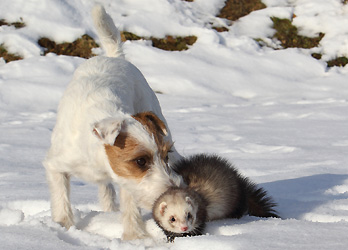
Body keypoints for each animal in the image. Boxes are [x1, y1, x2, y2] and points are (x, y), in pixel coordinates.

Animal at [43, 5, 182, 240]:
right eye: (141, 161)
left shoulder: (126, 179)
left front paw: (135, 237)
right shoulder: (56, 166)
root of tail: (113, 56)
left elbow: (130, 207)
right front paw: (63, 227)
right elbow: (61, 200)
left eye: (165, 156)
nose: (174, 190)